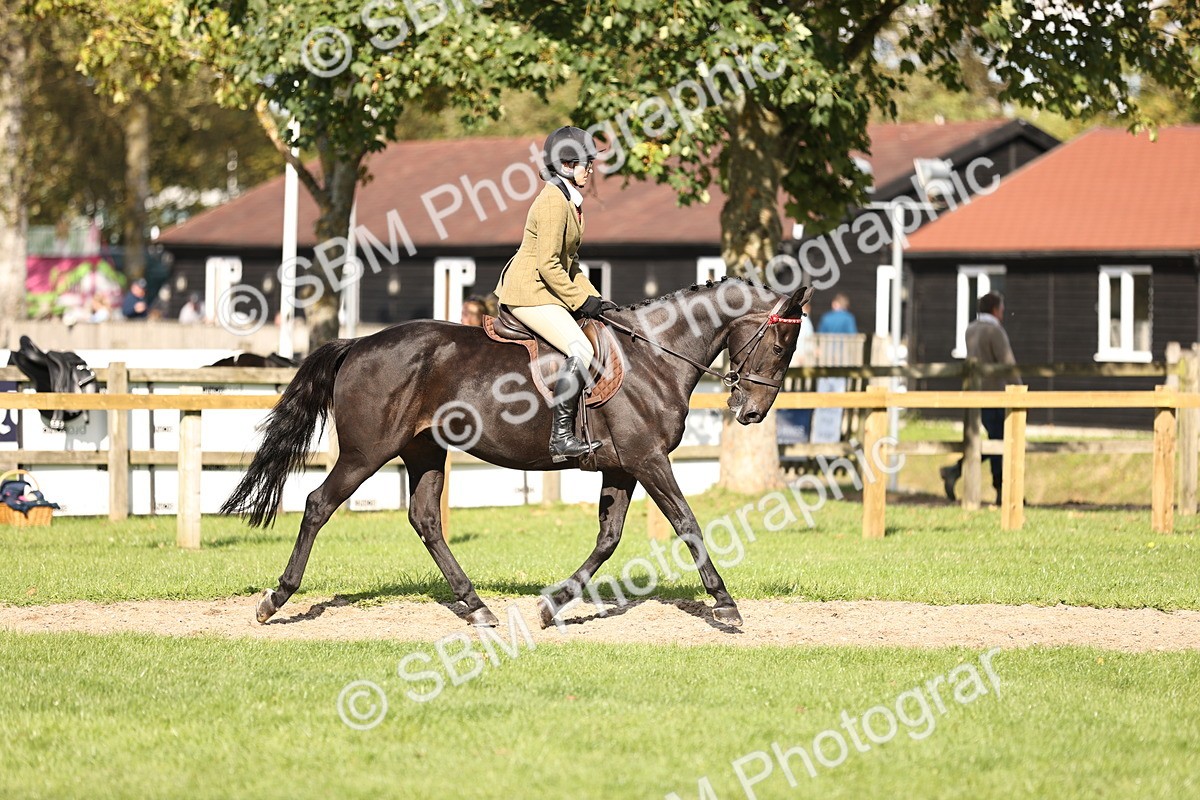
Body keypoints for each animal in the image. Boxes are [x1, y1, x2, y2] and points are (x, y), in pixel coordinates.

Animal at [222, 278, 813, 628]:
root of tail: (358, 344)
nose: (752, 411)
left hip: (424, 452)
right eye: (781, 344)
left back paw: (476, 605)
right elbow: (688, 523)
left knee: (426, 519)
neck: (651, 357)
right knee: (319, 505)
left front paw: (551, 605)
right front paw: (726, 605)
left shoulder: (623, 467)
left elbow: (608, 539)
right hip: (366, 453)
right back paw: (276, 599)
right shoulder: (649, 461)